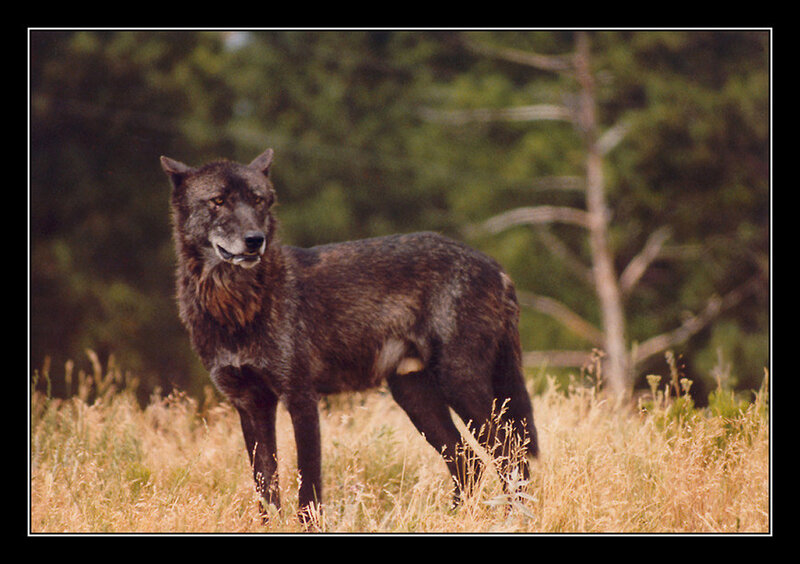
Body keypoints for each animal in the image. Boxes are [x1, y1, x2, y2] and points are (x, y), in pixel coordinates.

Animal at [161, 148, 538, 521]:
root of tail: (496, 267)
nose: (255, 241)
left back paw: (513, 519)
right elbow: (265, 489)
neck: (236, 306)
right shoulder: (250, 404)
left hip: (460, 384)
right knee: (468, 460)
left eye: (257, 200)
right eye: (218, 200)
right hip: (416, 397)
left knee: (510, 453)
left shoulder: (300, 398)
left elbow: (308, 486)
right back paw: (451, 519)